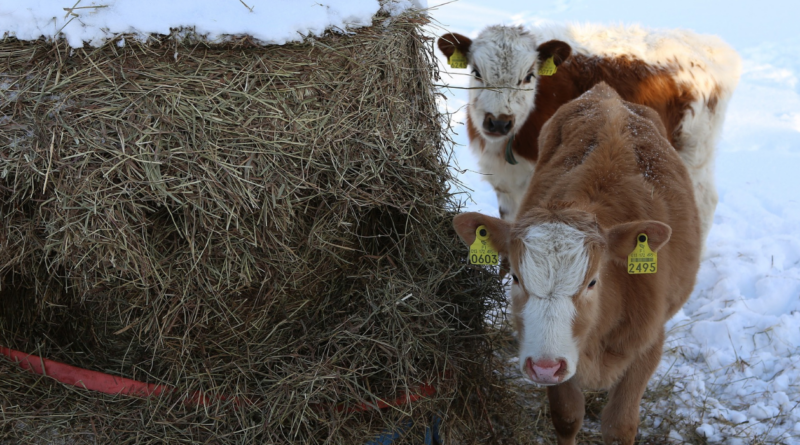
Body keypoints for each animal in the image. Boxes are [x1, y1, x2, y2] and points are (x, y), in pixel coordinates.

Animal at [440, 23, 740, 243]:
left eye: (528, 76)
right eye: (476, 72)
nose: (499, 122)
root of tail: (711, 47)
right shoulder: (505, 183)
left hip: (694, 149)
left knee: (703, 202)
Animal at [454, 82, 704, 440]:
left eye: (592, 282)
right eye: (515, 278)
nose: (544, 366)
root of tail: (607, 94)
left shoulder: (649, 344)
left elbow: (618, 425)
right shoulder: (558, 359)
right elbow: (567, 416)